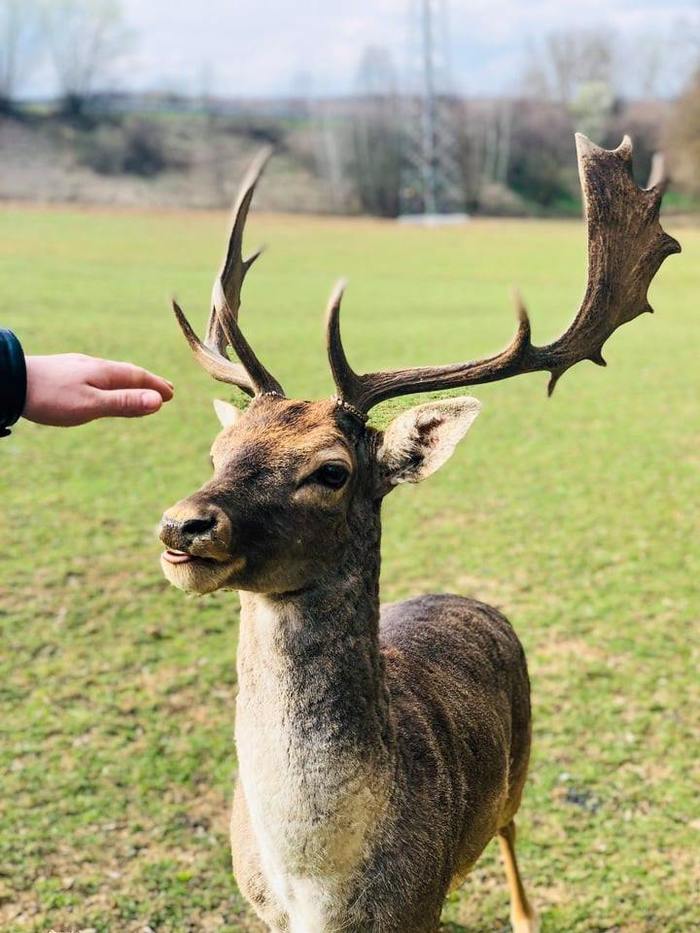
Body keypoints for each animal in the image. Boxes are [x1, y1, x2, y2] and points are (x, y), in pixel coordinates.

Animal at [157, 138, 680, 932]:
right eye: (219, 452)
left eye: (332, 471)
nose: (183, 525)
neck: (316, 885)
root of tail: (467, 598)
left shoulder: (418, 901)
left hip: (519, 766)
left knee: (510, 829)